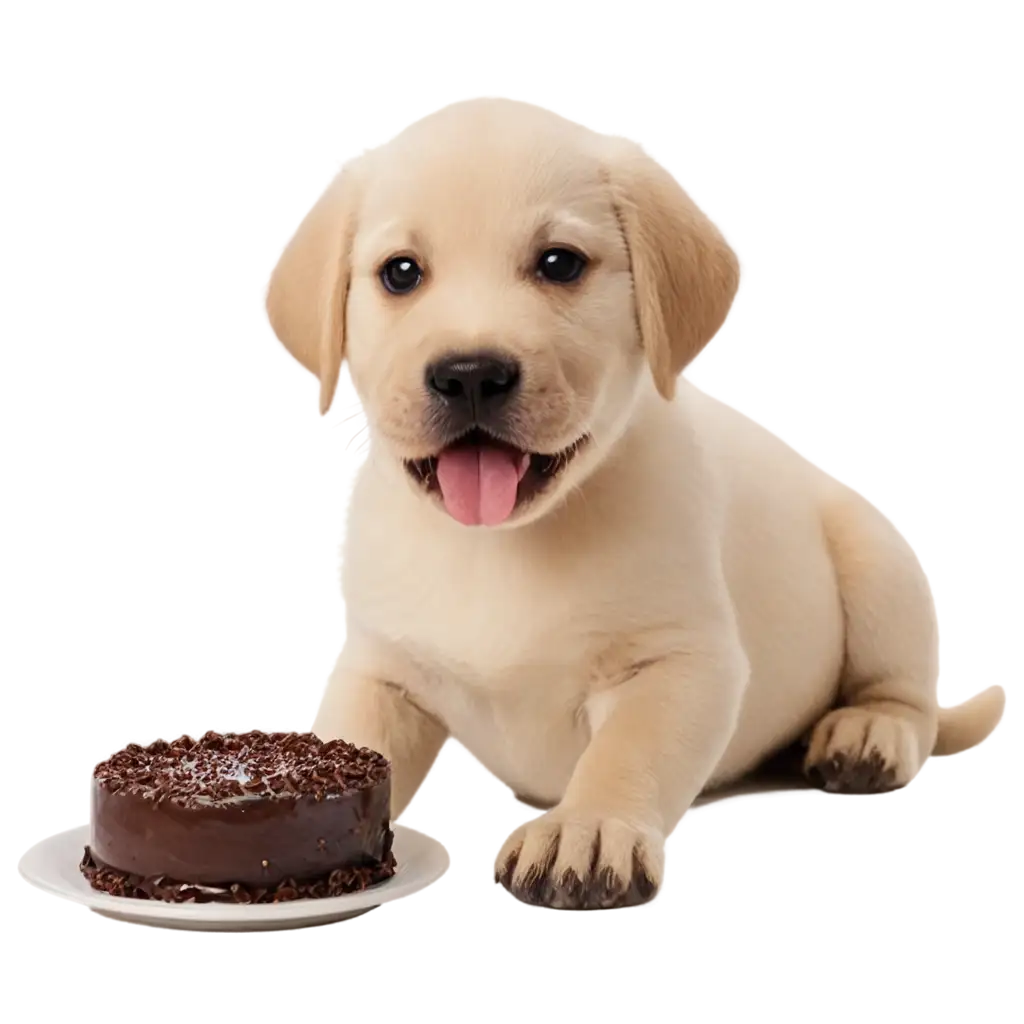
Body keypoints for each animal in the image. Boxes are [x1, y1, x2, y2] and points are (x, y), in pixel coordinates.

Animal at [253, 92, 1007, 909]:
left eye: (560, 263)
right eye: (399, 273)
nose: (471, 373)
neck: (499, 542)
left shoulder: (682, 660)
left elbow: (627, 749)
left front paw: (583, 829)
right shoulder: (379, 669)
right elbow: (358, 738)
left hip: (875, 556)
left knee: (907, 694)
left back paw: (866, 732)